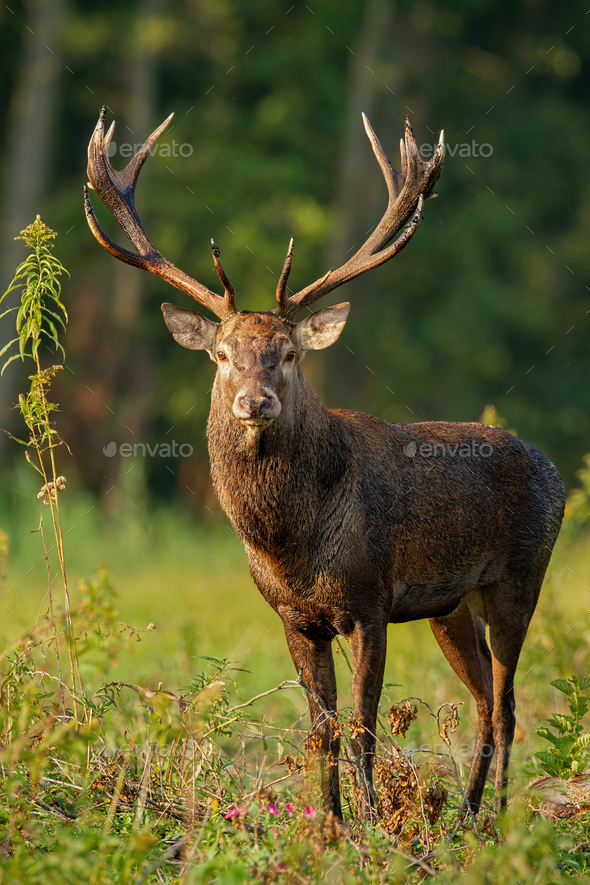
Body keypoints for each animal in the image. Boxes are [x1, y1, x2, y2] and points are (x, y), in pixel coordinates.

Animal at [85, 107, 568, 820]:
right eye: (222, 354)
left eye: (288, 353)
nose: (254, 401)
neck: (294, 545)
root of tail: (555, 470)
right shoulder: (295, 617)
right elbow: (323, 729)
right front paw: (331, 823)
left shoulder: (370, 599)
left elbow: (364, 725)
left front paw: (371, 824)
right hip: (452, 605)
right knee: (485, 698)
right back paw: (465, 815)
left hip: (521, 576)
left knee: (508, 703)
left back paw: (499, 821)